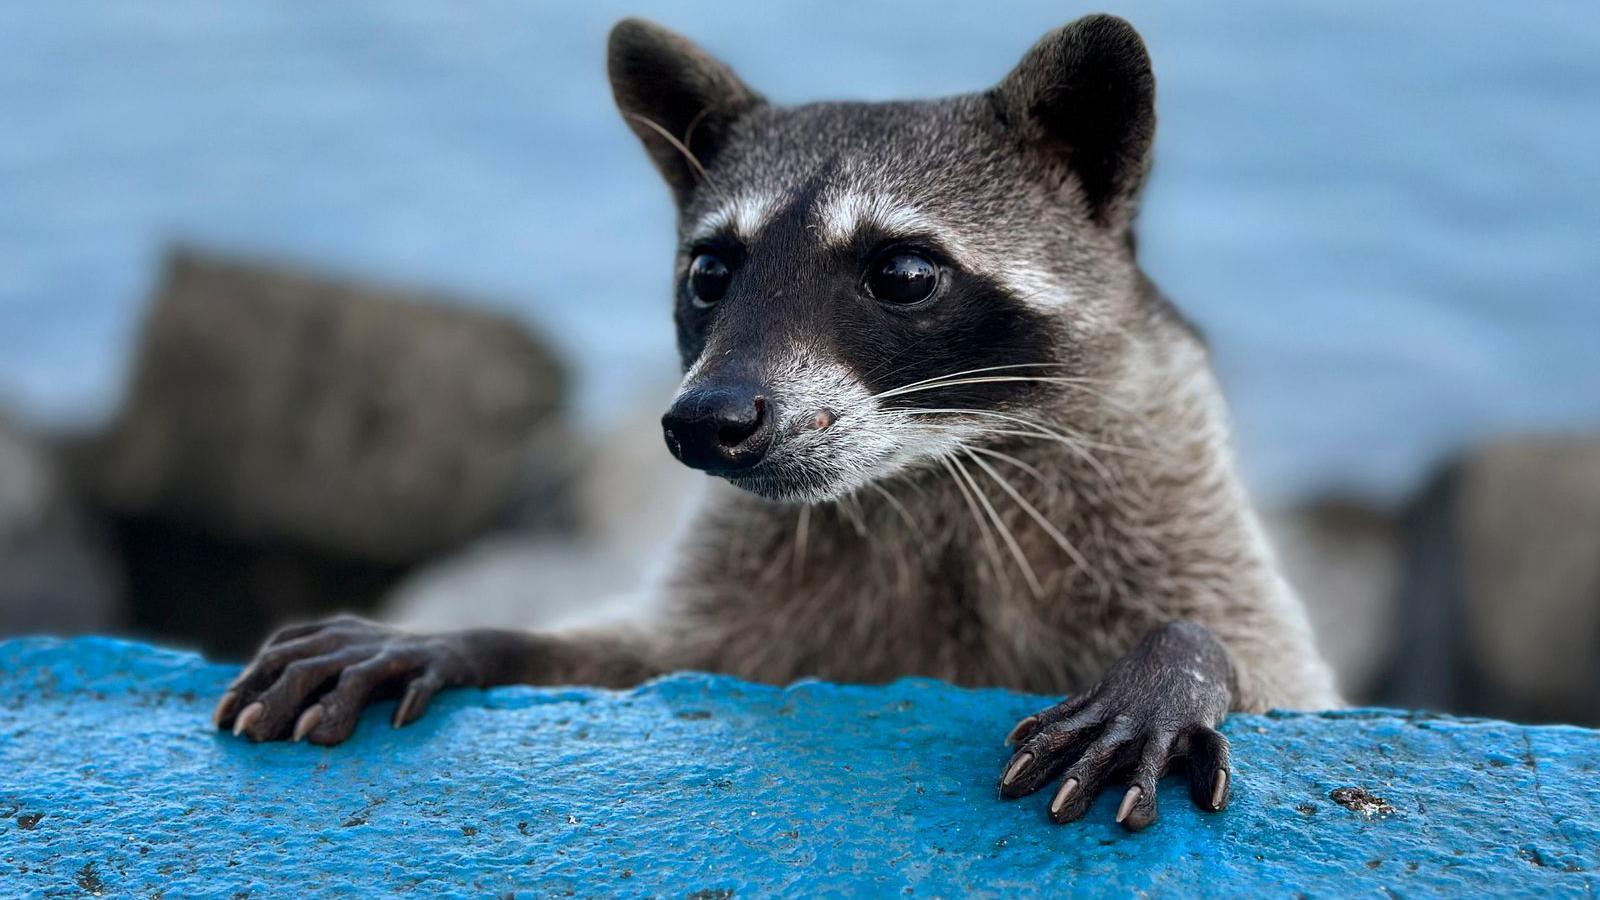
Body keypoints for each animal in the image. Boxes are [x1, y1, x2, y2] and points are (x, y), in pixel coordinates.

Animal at [214, 14, 1340, 831]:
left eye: (902, 273)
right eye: (711, 273)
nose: (704, 422)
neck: (925, 472)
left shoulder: (1152, 483)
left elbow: (1274, 667)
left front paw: (1185, 657)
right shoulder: (765, 589)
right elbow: (654, 654)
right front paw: (464, 635)